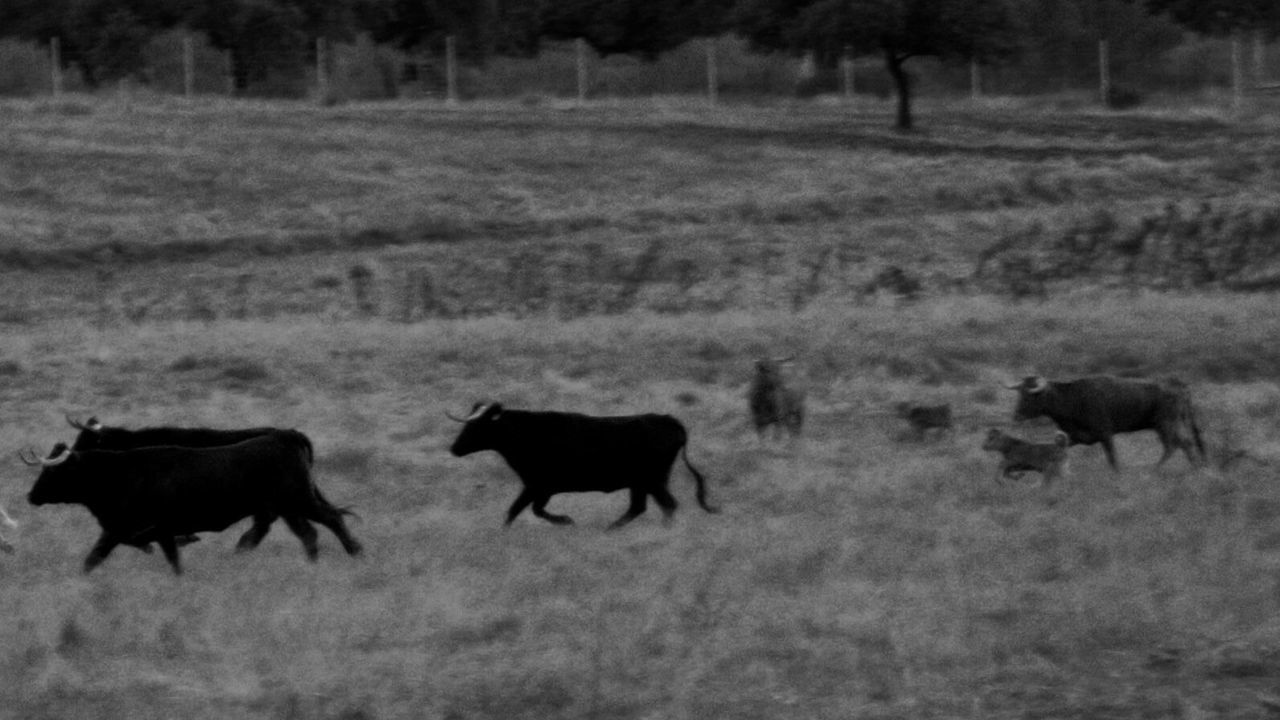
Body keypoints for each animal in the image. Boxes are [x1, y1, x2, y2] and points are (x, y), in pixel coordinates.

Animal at [26, 427, 366, 573]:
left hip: (298, 500)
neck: (120, 473)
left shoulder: (133, 529)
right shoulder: (144, 532)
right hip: (288, 508)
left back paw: (356, 553)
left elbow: (96, 556)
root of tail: (286, 436)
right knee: (308, 533)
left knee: (331, 519)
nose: (31, 496)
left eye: (53, 471)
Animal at [448, 404, 721, 527]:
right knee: (641, 508)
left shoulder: (538, 486)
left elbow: (523, 510)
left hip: (652, 479)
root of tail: (668, 420)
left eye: (477, 426)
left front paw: (566, 520)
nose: (454, 448)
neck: (527, 434)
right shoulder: (537, 488)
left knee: (666, 505)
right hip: (643, 483)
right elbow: (519, 511)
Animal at [1003, 371, 1203, 468]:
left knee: (1175, 444)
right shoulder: (1075, 437)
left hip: (1166, 424)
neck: (1072, 398)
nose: (1016, 416)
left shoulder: (1106, 434)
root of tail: (1181, 386)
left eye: (1029, 396)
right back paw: (1194, 468)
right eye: (1019, 393)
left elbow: (1113, 460)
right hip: (1166, 425)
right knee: (1184, 444)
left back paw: (1156, 469)